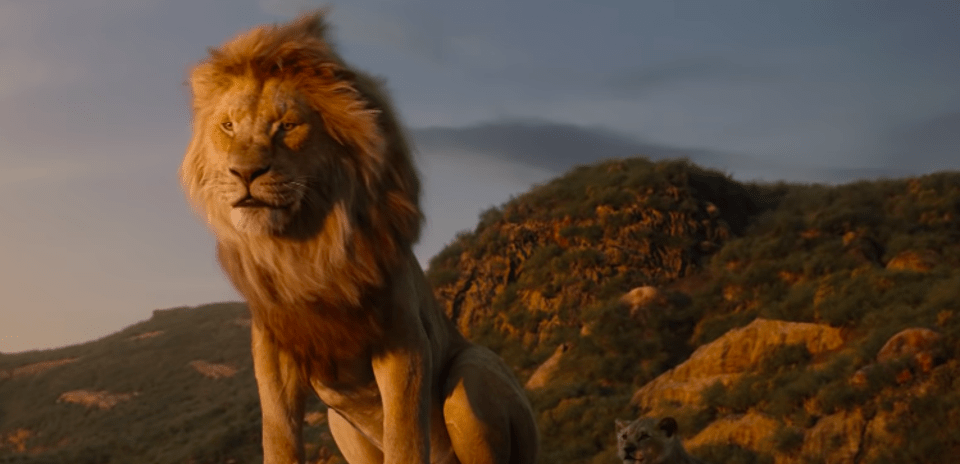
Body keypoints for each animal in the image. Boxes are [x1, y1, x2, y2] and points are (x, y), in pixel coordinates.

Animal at [179, 11, 539, 464]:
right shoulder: (273, 354)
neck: (303, 248)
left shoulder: (403, 342)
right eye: (227, 126)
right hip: (340, 424)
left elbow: (405, 439)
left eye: (287, 126)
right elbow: (278, 437)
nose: (244, 173)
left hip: (470, 376)